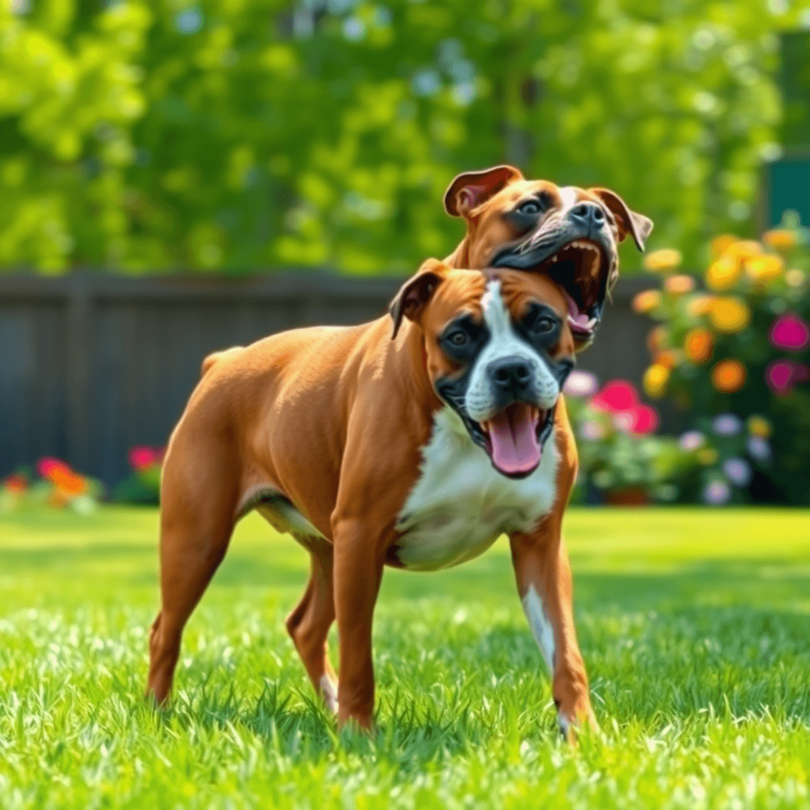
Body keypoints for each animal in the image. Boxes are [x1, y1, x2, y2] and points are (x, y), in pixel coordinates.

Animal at [145, 262, 596, 736]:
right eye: (458, 336)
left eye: (544, 323)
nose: (510, 369)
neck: (464, 435)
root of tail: (225, 360)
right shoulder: (361, 541)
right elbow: (358, 652)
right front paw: (358, 733)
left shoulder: (541, 548)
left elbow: (565, 649)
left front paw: (582, 731)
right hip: (197, 543)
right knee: (165, 631)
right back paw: (157, 714)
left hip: (327, 552)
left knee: (305, 626)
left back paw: (328, 703)